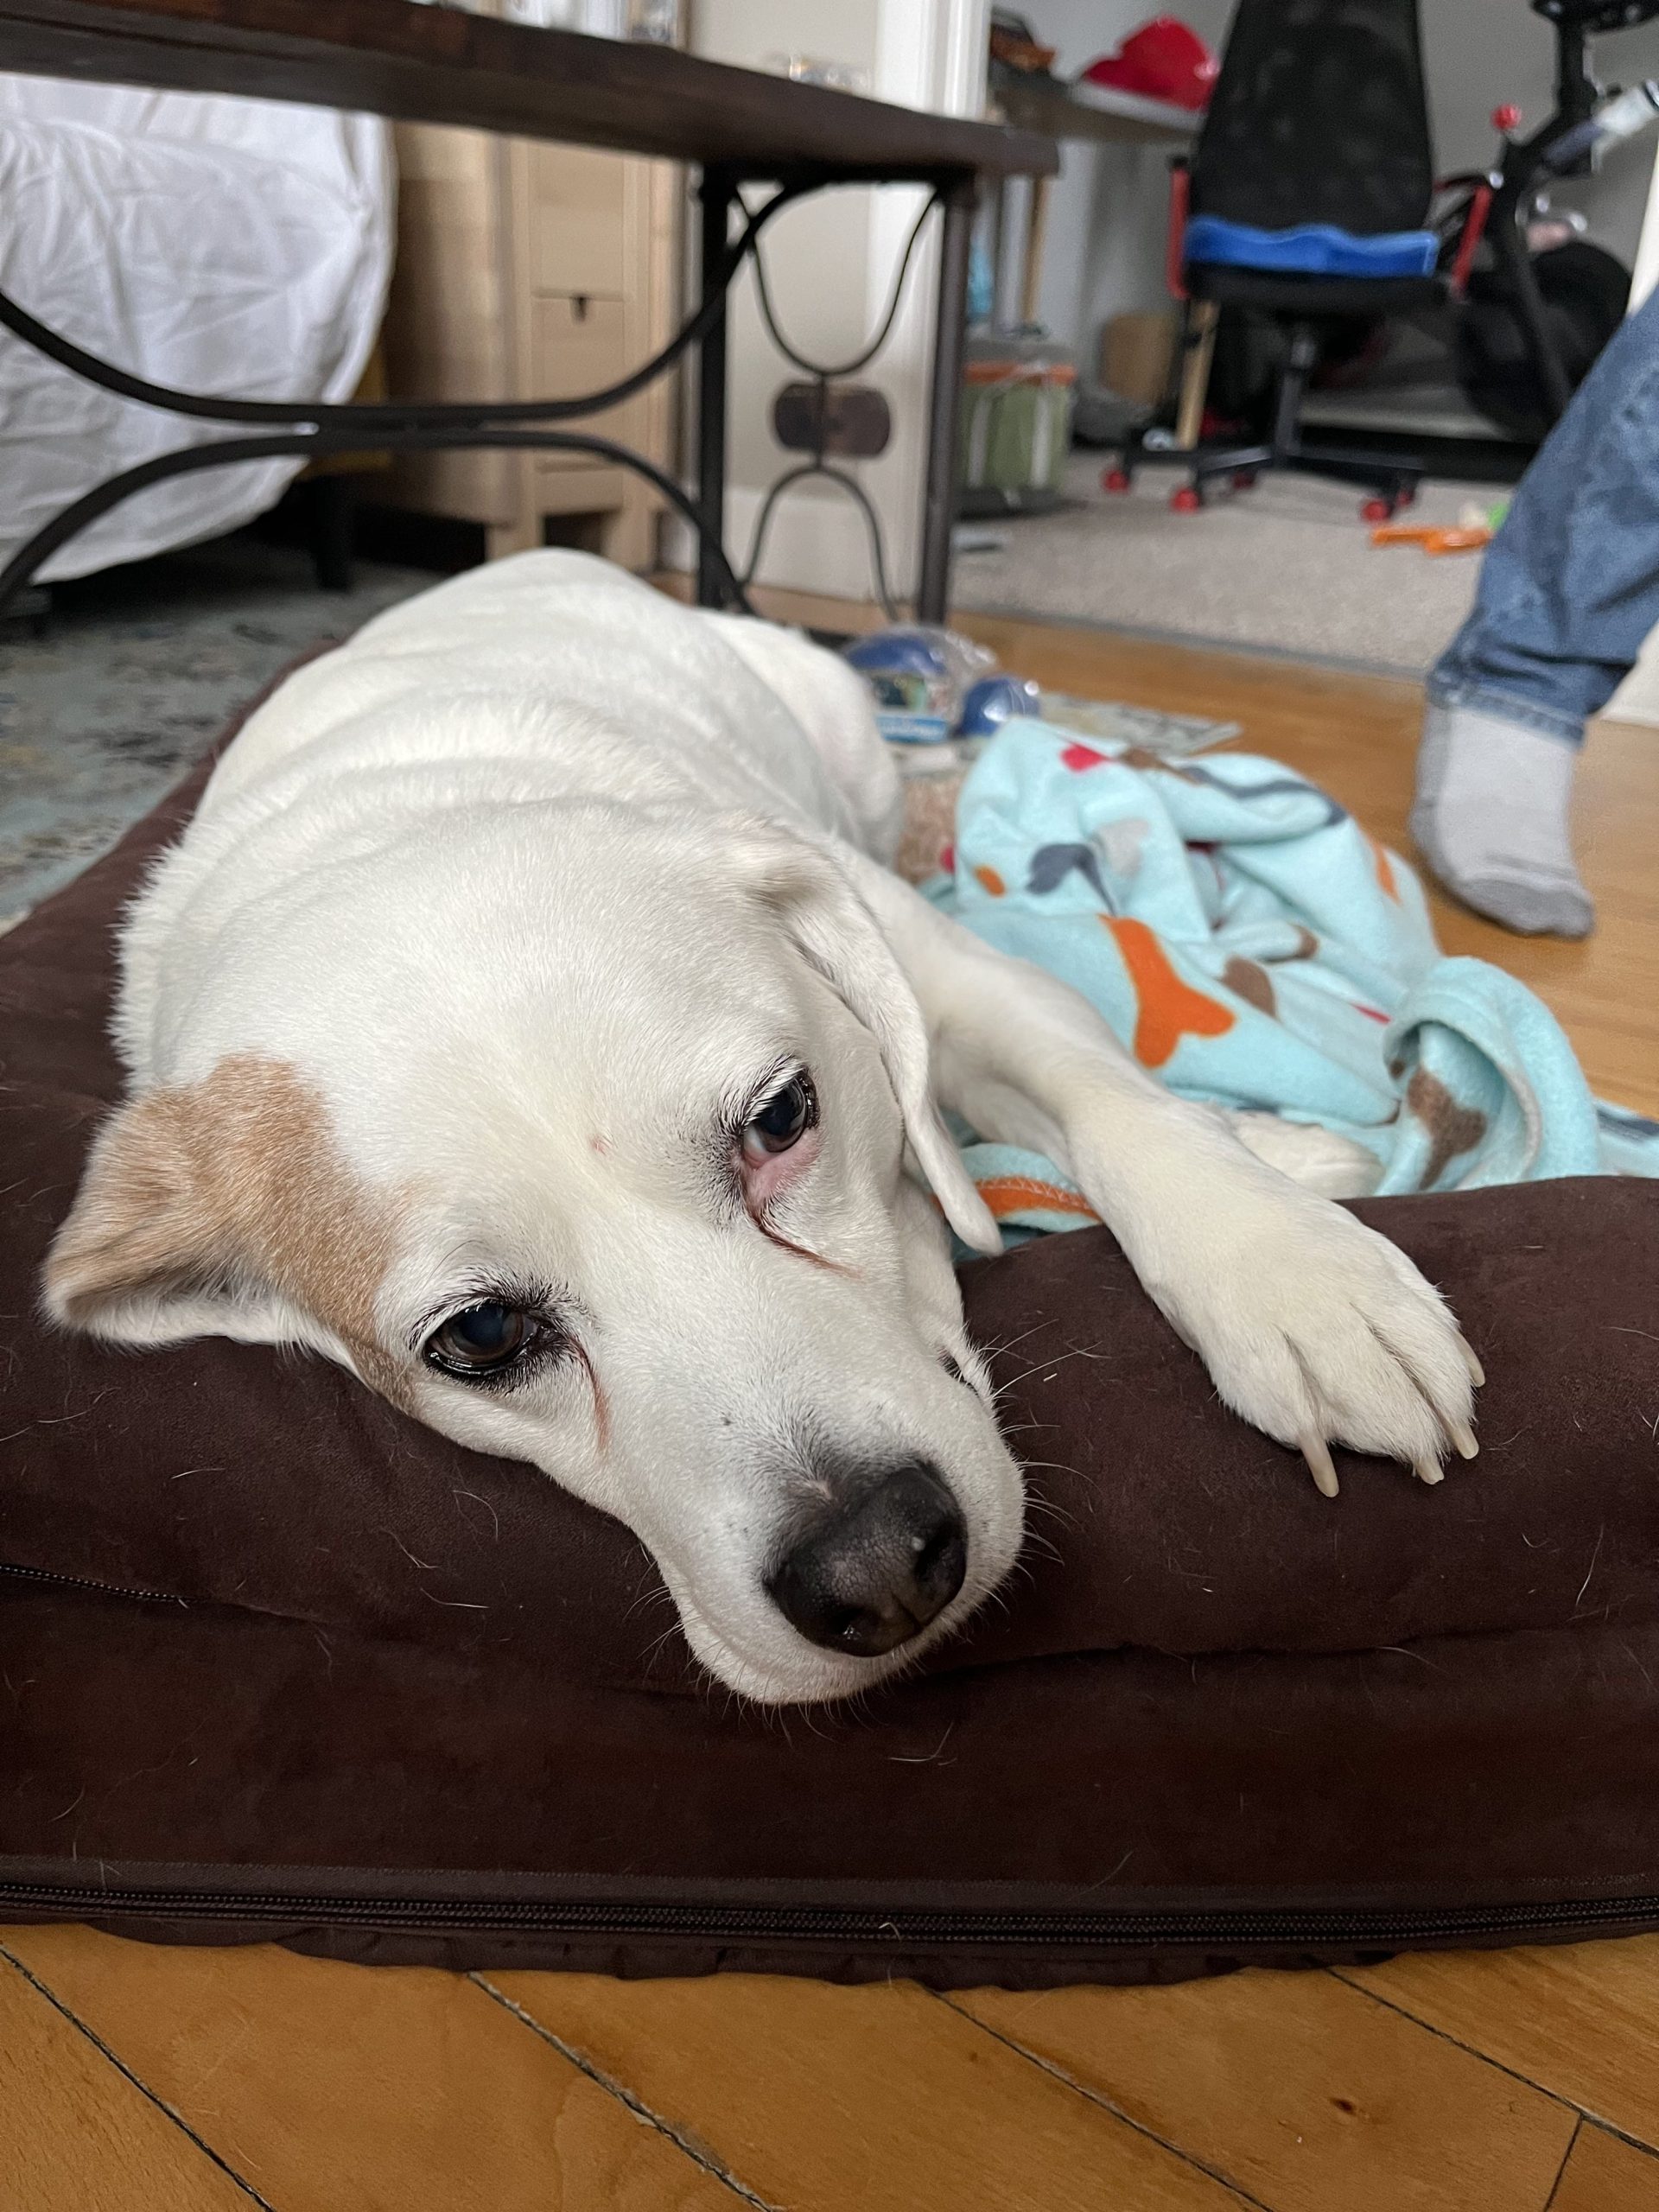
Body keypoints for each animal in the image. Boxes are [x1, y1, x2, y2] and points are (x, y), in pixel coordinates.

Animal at [43, 552, 1480, 1704]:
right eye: (484, 1337)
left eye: (782, 1117)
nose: (880, 1566)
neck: (395, 819)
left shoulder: (949, 974)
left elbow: (1111, 1097)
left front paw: (1299, 1277)